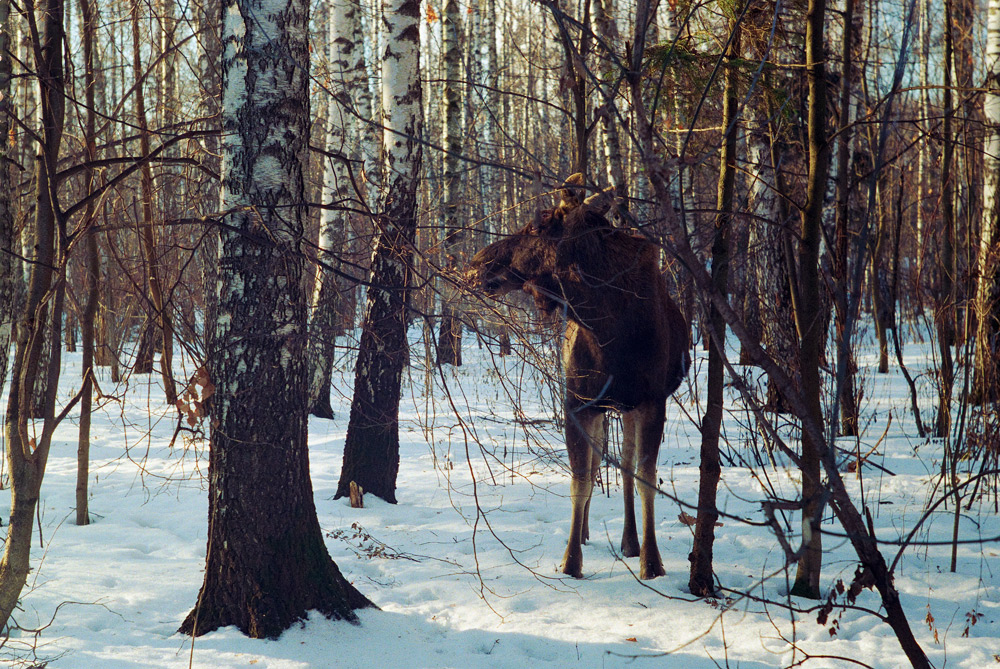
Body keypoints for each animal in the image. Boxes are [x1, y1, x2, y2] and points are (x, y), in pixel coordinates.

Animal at [466, 175, 688, 576]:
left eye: (536, 224)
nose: (475, 265)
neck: (607, 326)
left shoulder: (652, 401)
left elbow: (646, 479)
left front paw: (652, 561)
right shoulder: (578, 402)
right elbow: (580, 481)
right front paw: (571, 561)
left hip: (626, 407)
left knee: (625, 467)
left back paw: (630, 541)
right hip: (604, 408)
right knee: (600, 463)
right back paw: (585, 531)